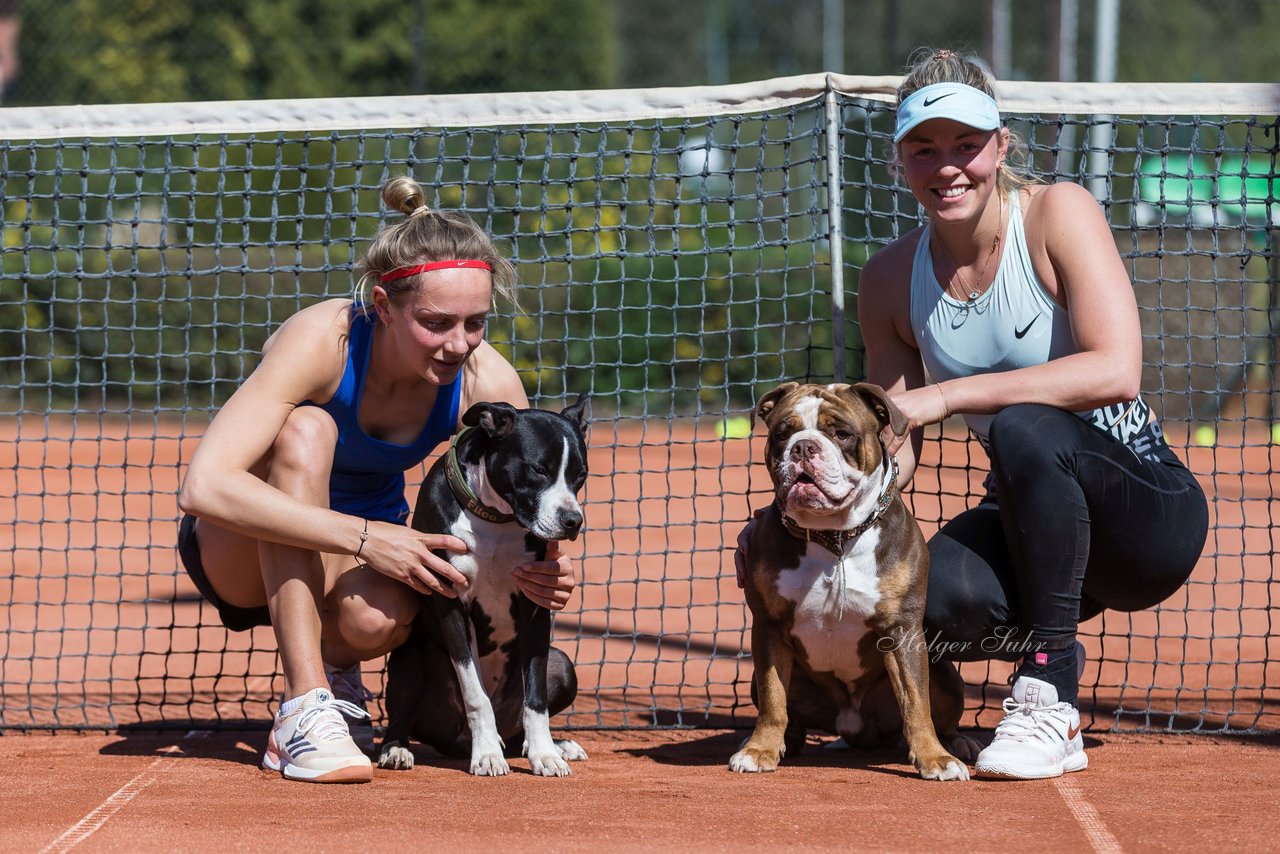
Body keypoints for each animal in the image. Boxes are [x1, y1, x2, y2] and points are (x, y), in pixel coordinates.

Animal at [373, 396, 586, 778]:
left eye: (581, 475)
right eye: (539, 470)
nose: (572, 520)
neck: (496, 519)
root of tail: (455, 742)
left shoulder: (535, 605)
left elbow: (536, 699)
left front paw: (545, 755)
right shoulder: (452, 605)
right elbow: (475, 692)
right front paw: (486, 754)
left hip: (563, 666)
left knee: (519, 730)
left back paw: (556, 746)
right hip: (410, 661)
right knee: (401, 716)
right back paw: (397, 750)